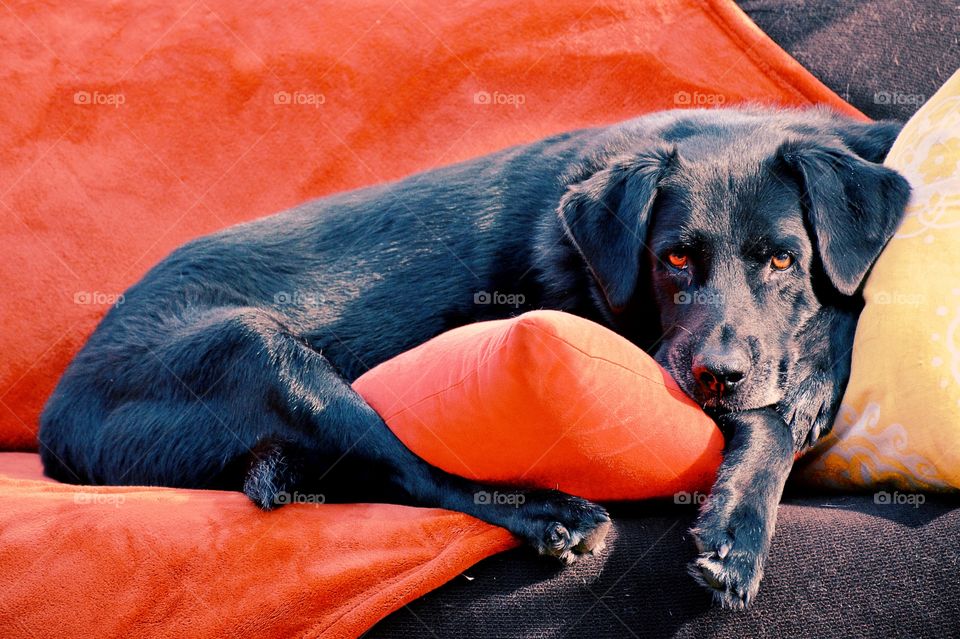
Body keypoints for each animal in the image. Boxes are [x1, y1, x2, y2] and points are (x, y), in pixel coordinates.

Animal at [35, 109, 908, 608]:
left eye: (784, 259)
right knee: (412, 472)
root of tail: (53, 422)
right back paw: (551, 513)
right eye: (674, 260)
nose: (715, 377)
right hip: (255, 349)